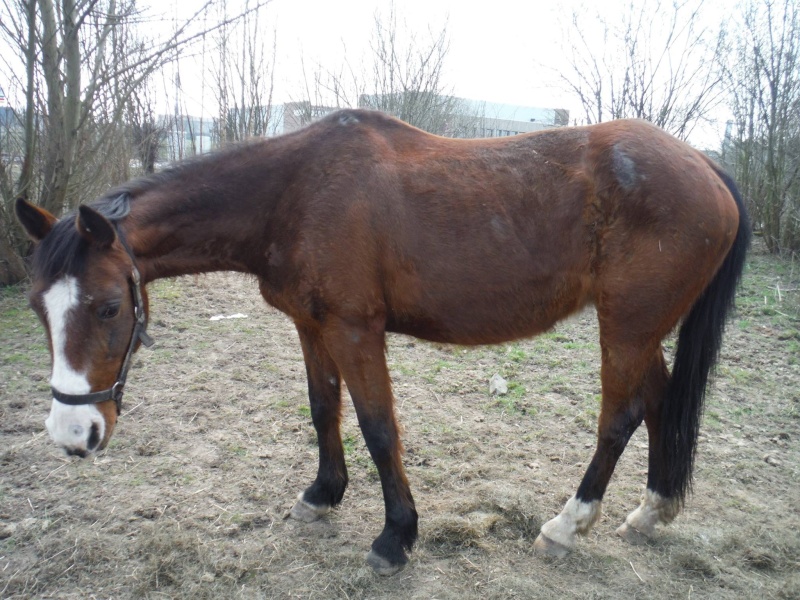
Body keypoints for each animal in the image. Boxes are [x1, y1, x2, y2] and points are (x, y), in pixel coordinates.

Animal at [14, 109, 752, 576]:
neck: (293, 192)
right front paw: (322, 496)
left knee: (619, 417)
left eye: (109, 307)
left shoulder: (355, 331)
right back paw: (653, 511)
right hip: (639, 329)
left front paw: (396, 538)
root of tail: (707, 168)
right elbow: (324, 412)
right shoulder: (312, 328)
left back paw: (568, 524)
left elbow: (377, 428)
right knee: (660, 404)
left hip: (625, 328)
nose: (72, 435)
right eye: (36, 308)